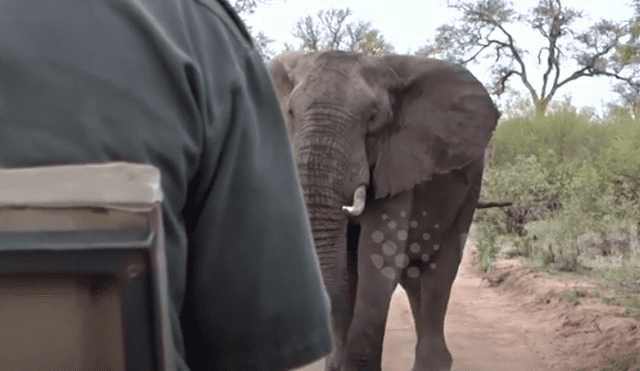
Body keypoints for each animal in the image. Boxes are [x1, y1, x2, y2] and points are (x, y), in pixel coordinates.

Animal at [270, 51, 500, 371]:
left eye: (373, 118)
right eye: (290, 113)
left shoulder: (397, 161)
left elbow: (376, 260)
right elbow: (352, 267)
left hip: (471, 187)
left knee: (439, 271)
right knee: (412, 277)